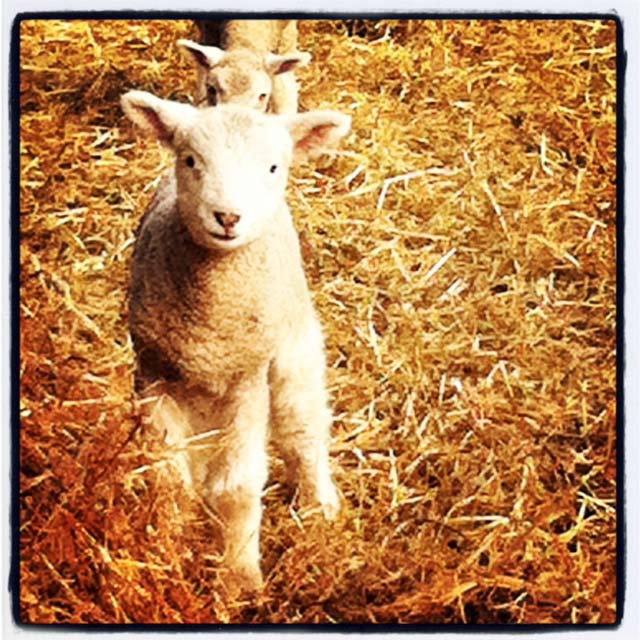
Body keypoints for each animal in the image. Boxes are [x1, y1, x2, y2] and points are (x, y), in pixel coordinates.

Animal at [121, 90, 351, 592]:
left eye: (273, 167)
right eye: (190, 160)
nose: (227, 217)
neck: (209, 325)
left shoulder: (248, 379)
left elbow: (238, 487)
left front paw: (239, 577)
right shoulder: (153, 374)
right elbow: (168, 478)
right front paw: (166, 549)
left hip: (292, 347)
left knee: (303, 427)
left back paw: (318, 503)